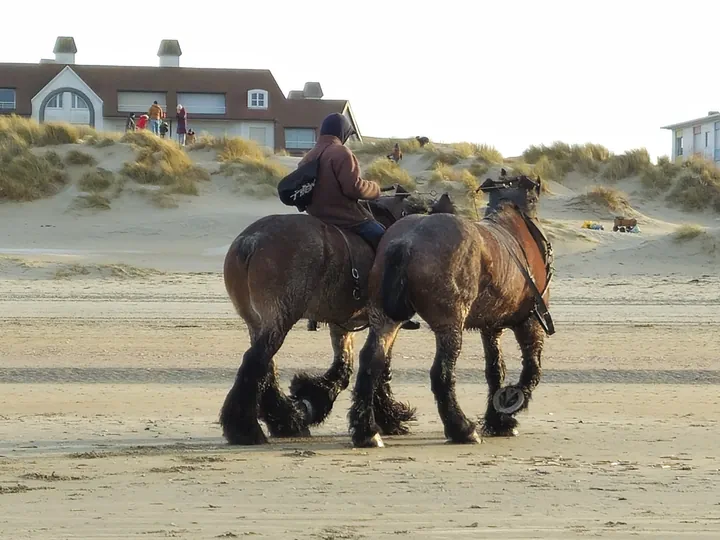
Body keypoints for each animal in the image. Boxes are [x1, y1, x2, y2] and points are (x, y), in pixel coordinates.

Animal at [221, 186, 456, 442]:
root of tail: (251, 241)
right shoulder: (385, 322)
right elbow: (379, 366)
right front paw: (389, 417)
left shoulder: (342, 324)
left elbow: (343, 368)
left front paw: (313, 399)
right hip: (279, 320)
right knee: (255, 363)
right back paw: (247, 429)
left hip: (258, 323)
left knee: (265, 367)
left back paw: (286, 422)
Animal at [346, 170, 556, 448]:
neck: (515, 228)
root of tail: (406, 242)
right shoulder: (530, 322)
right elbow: (532, 370)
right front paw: (509, 407)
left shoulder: (491, 327)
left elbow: (495, 370)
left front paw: (497, 420)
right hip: (450, 324)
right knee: (441, 373)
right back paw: (461, 428)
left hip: (384, 319)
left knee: (372, 362)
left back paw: (366, 431)